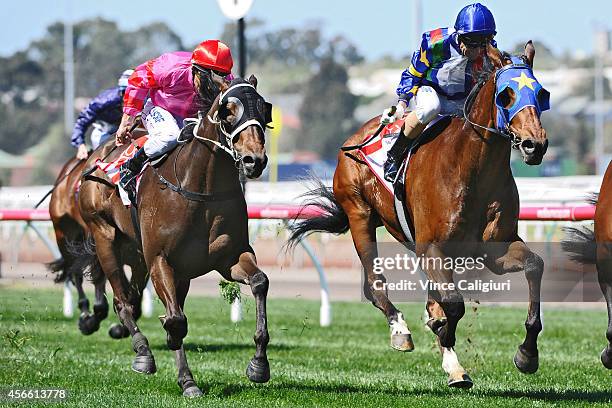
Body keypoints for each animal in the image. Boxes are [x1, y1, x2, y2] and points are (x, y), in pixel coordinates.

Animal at [76, 75, 270, 396]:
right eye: (228, 111)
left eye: (265, 109)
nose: (255, 160)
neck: (201, 188)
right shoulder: (159, 260)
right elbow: (177, 320)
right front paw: (183, 373)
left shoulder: (229, 257)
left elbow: (259, 282)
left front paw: (258, 365)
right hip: (105, 236)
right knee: (123, 301)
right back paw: (142, 352)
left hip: (160, 263)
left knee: (136, 299)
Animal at [288, 42, 548, 388]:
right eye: (506, 95)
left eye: (542, 93)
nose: (536, 145)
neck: (473, 167)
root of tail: (358, 134)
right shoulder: (432, 246)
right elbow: (454, 305)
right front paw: (443, 334)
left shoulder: (494, 249)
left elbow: (534, 265)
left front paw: (527, 354)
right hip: (359, 214)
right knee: (375, 284)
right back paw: (401, 330)